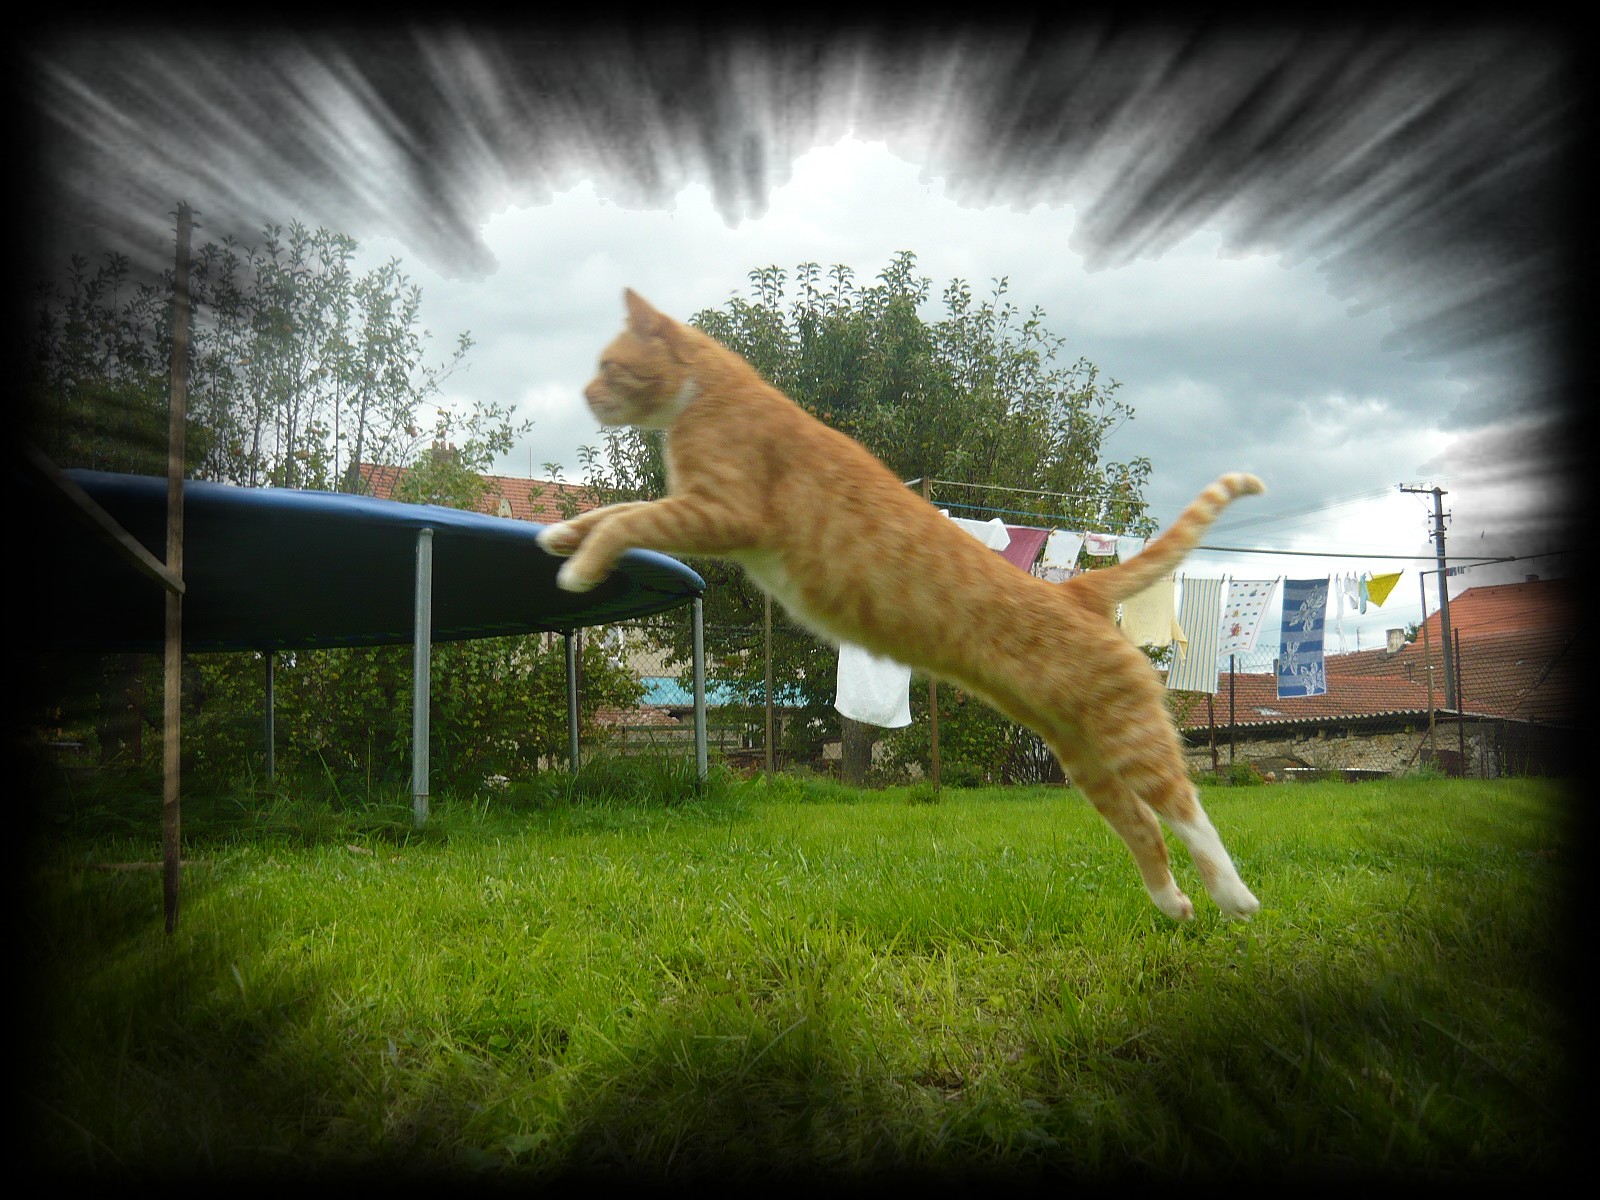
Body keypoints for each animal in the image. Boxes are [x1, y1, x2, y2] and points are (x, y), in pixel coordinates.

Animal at [538, 288, 1264, 920]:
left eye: (608, 366)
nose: (584, 394)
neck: (712, 394)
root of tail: (1074, 589)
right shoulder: (694, 506)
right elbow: (616, 511)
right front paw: (558, 537)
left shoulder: (721, 511)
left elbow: (631, 519)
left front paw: (578, 568)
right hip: (1082, 754)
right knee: (1142, 825)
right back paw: (1174, 904)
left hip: (1127, 732)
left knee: (1188, 808)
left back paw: (1235, 897)